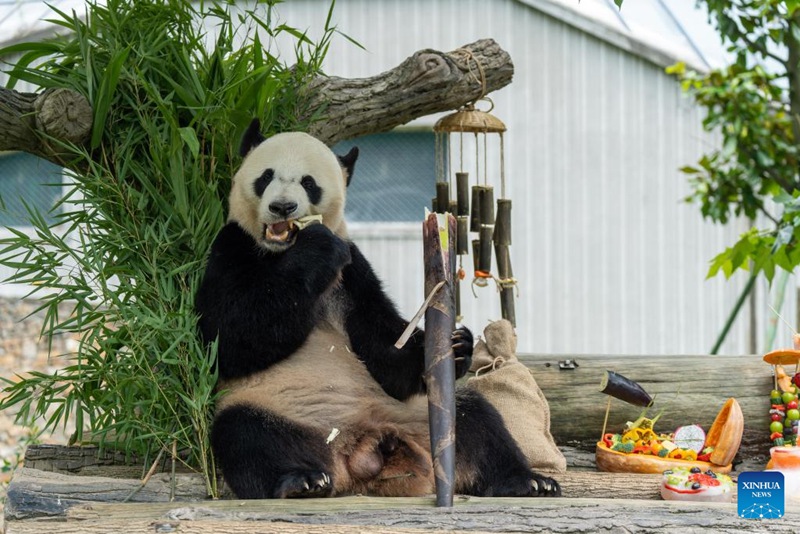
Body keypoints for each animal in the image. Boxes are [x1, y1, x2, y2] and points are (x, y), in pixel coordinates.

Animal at [195, 118, 560, 499]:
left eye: (309, 183)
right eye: (266, 176)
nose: (283, 207)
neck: (281, 251)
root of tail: (362, 448)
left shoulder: (354, 273)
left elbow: (384, 347)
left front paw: (458, 344)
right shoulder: (231, 247)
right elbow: (229, 337)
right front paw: (316, 249)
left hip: (413, 417)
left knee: (477, 418)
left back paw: (528, 481)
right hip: (277, 409)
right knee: (245, 434)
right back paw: (300, 481)